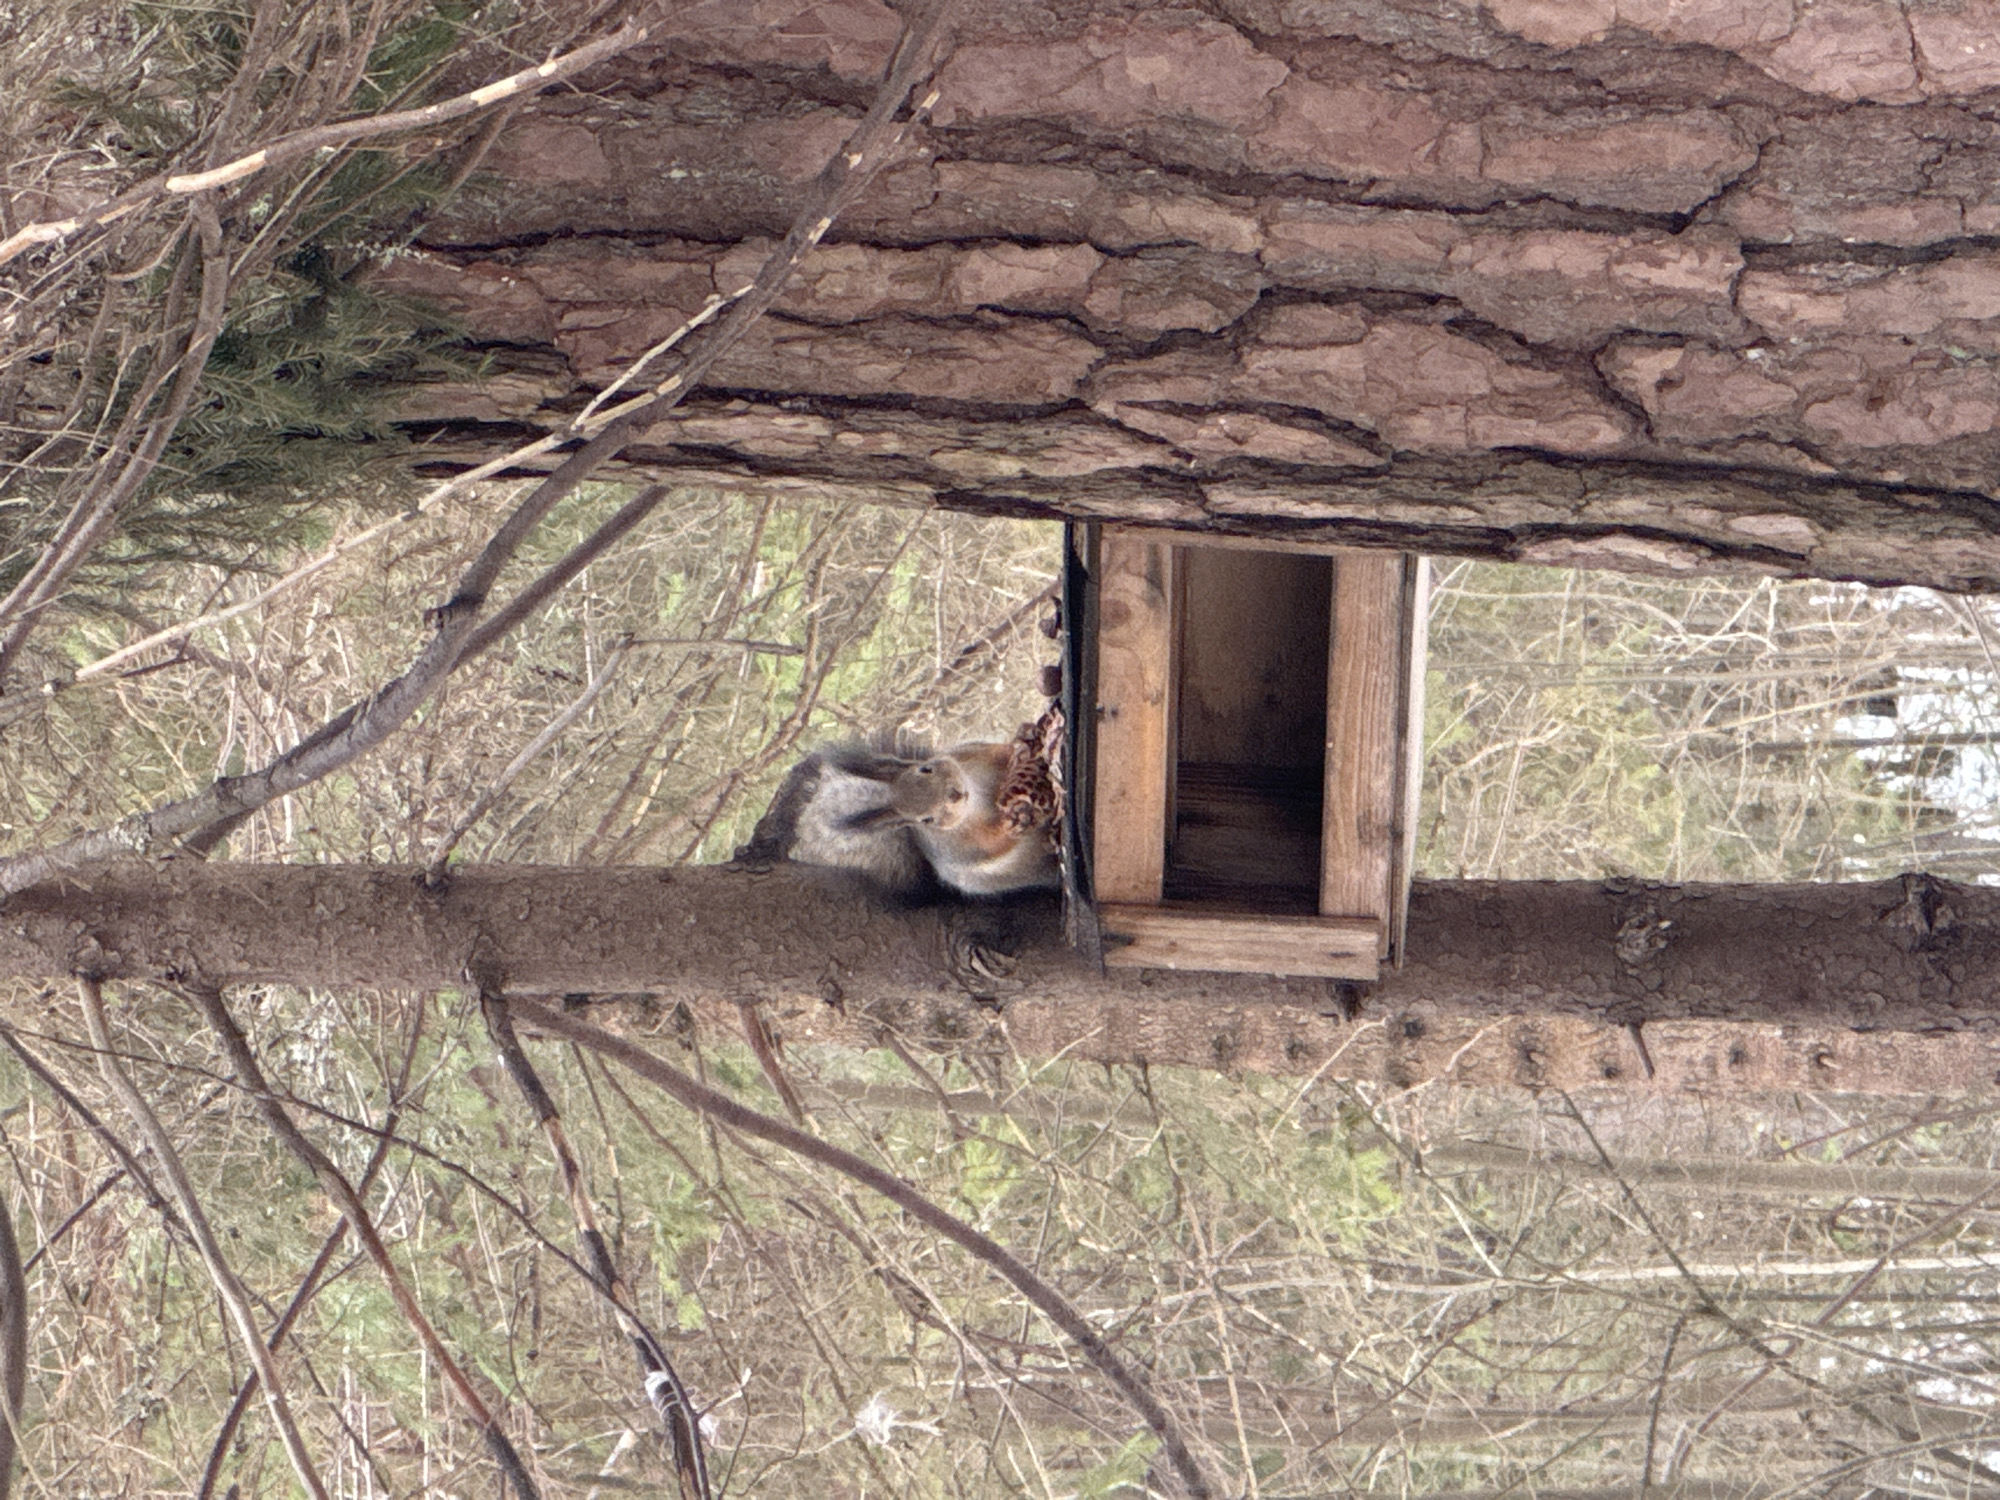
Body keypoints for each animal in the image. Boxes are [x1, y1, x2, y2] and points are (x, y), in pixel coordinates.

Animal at [736, 727, 1062, 899]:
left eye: (925, 768)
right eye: (926, 820)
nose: (955, 794)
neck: (979, 797)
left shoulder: (971, 755)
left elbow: (997, 752)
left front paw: (1020, 746)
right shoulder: (960, 846)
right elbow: (990, 844)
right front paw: (1008, 824)